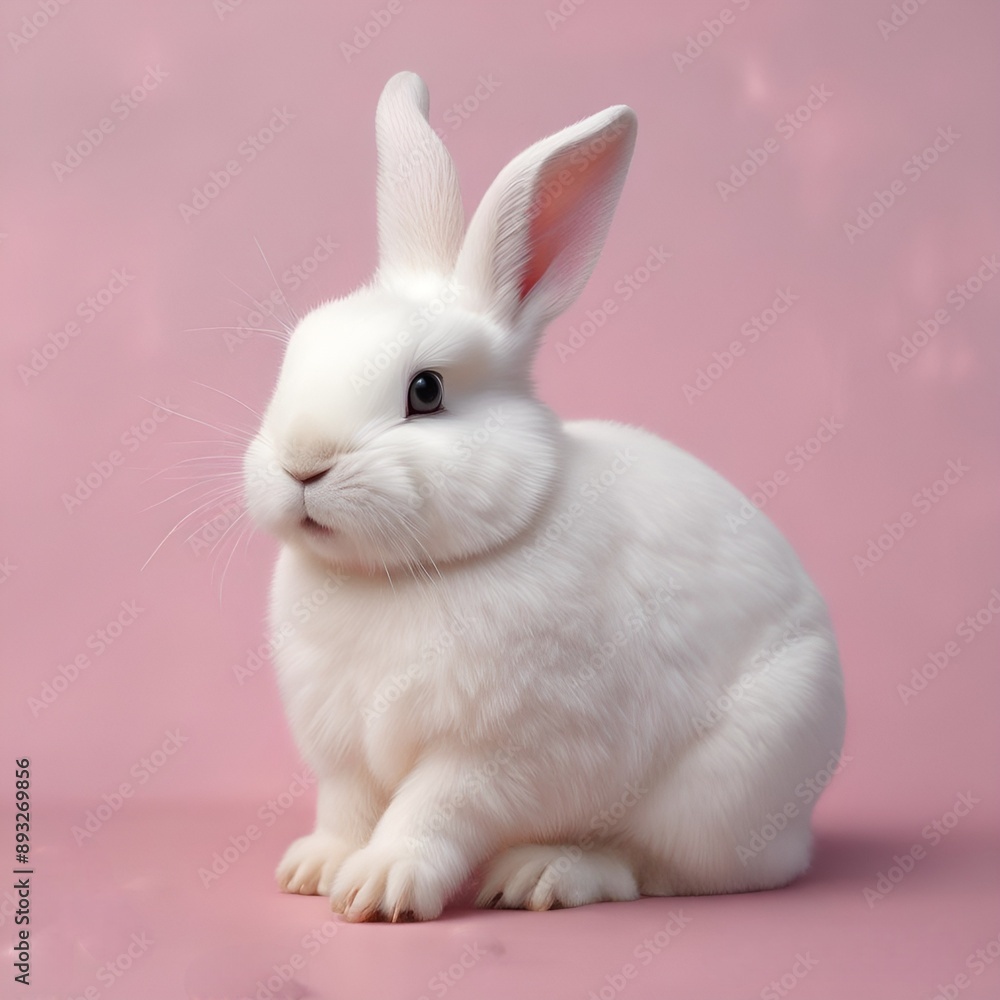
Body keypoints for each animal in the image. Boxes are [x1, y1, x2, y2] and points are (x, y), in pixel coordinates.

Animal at [242, 71, 846, 922]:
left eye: (425, 391)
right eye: (296, 354)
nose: (302, 464)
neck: (399, 577)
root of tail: (802, 823)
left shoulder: (493, 753)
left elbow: (430, 809)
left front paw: (380, 887)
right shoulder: (345, 756)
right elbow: (349, 808)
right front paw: (317, 869)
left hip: (720, 792)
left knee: (663, 868)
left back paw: (546, 873)